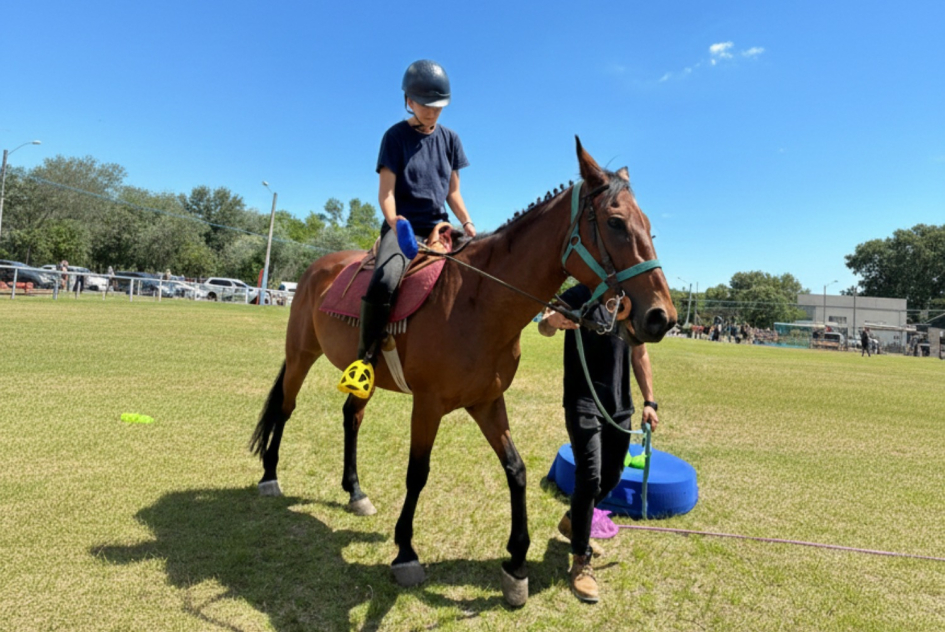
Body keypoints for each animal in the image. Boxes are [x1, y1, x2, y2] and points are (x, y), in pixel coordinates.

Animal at [249, 137, 677, 606]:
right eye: (616, 223)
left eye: (649, 226)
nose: (661, 317)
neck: (477, 301)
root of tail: (316, 269)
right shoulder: (428, 405)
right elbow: (418, 473)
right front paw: (406, 552)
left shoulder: (487, 401)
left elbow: (516, 470)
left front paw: (516, 564)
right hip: (300, 355)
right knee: (286, 409)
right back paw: (270, 476)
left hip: (363, 375)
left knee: (351, 417)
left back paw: (355, 492)